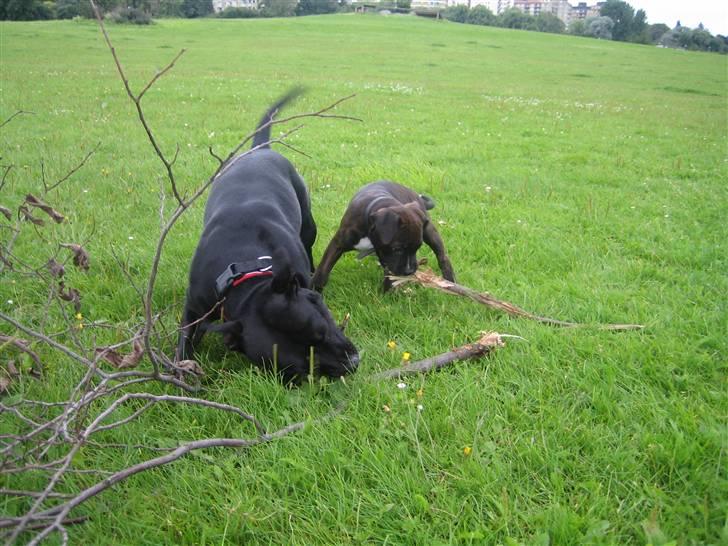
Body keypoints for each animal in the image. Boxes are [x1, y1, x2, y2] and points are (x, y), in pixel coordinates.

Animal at [176, 89, 358, 380]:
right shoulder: (194, 307)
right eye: (297, 370)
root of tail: (259, 150)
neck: (246, 270)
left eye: (322, 330)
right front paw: (179, 371)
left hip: (308, 222)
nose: (354, 362)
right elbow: (184, 341)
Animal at [312, 181, 456, 292]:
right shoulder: (337, 244)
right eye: (397, 249)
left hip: (429, 230)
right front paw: (315, 289)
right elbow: (323, 270)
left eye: (417, 248)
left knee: (443, 257)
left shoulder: (390, 260)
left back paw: (450, 281)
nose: (409, 271)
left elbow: (389, 274)